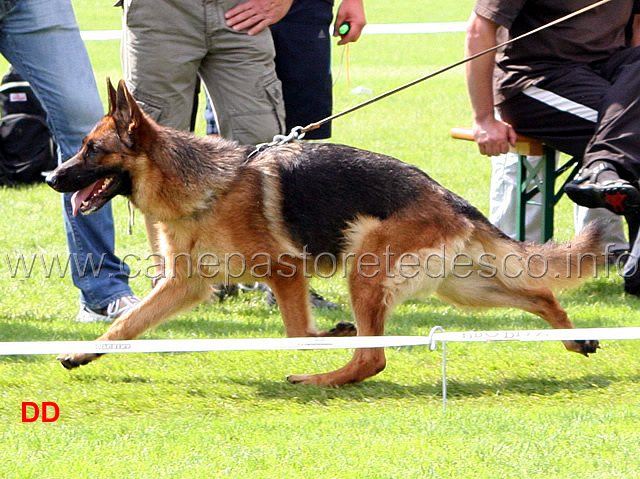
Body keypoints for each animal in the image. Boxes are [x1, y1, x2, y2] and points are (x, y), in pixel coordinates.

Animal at [46, 79, 604, 386]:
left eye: (92, 150)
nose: (50, 178)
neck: (204, 188)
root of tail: (451, 198)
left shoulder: (284, 271)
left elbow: (297, 332)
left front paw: (328, 334)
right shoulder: (184, 285)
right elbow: (126, 326)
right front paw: (82, 352)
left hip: (367, 273)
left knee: (372, 357)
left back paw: (321, 376)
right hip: (459, 288)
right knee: (541, 295)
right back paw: (575, 338)